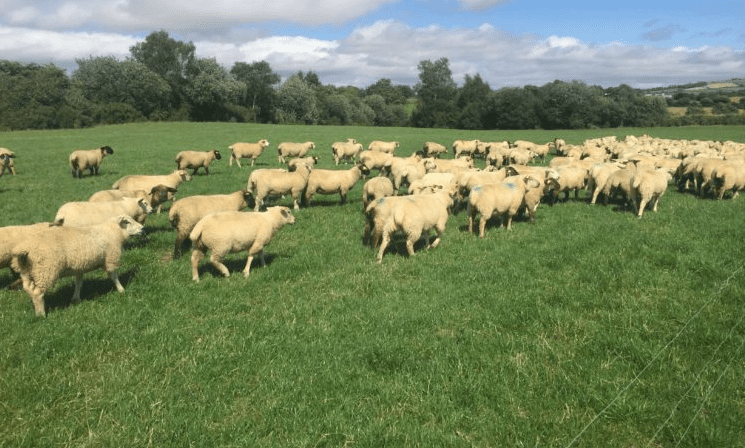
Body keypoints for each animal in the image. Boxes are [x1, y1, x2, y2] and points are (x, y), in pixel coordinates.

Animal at [11, 215, 144, 316]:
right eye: (127, 222)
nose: (142, 229)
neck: (113, 231)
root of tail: (25, 249)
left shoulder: (80, 266)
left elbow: (78, 283)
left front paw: (76, 299)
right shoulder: (110, 258)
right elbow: (113, 276)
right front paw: (121, 290)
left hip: (26, 271)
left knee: (29, 289)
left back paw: (35, 306)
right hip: (45, 270)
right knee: (37, 292)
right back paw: (41, 314)